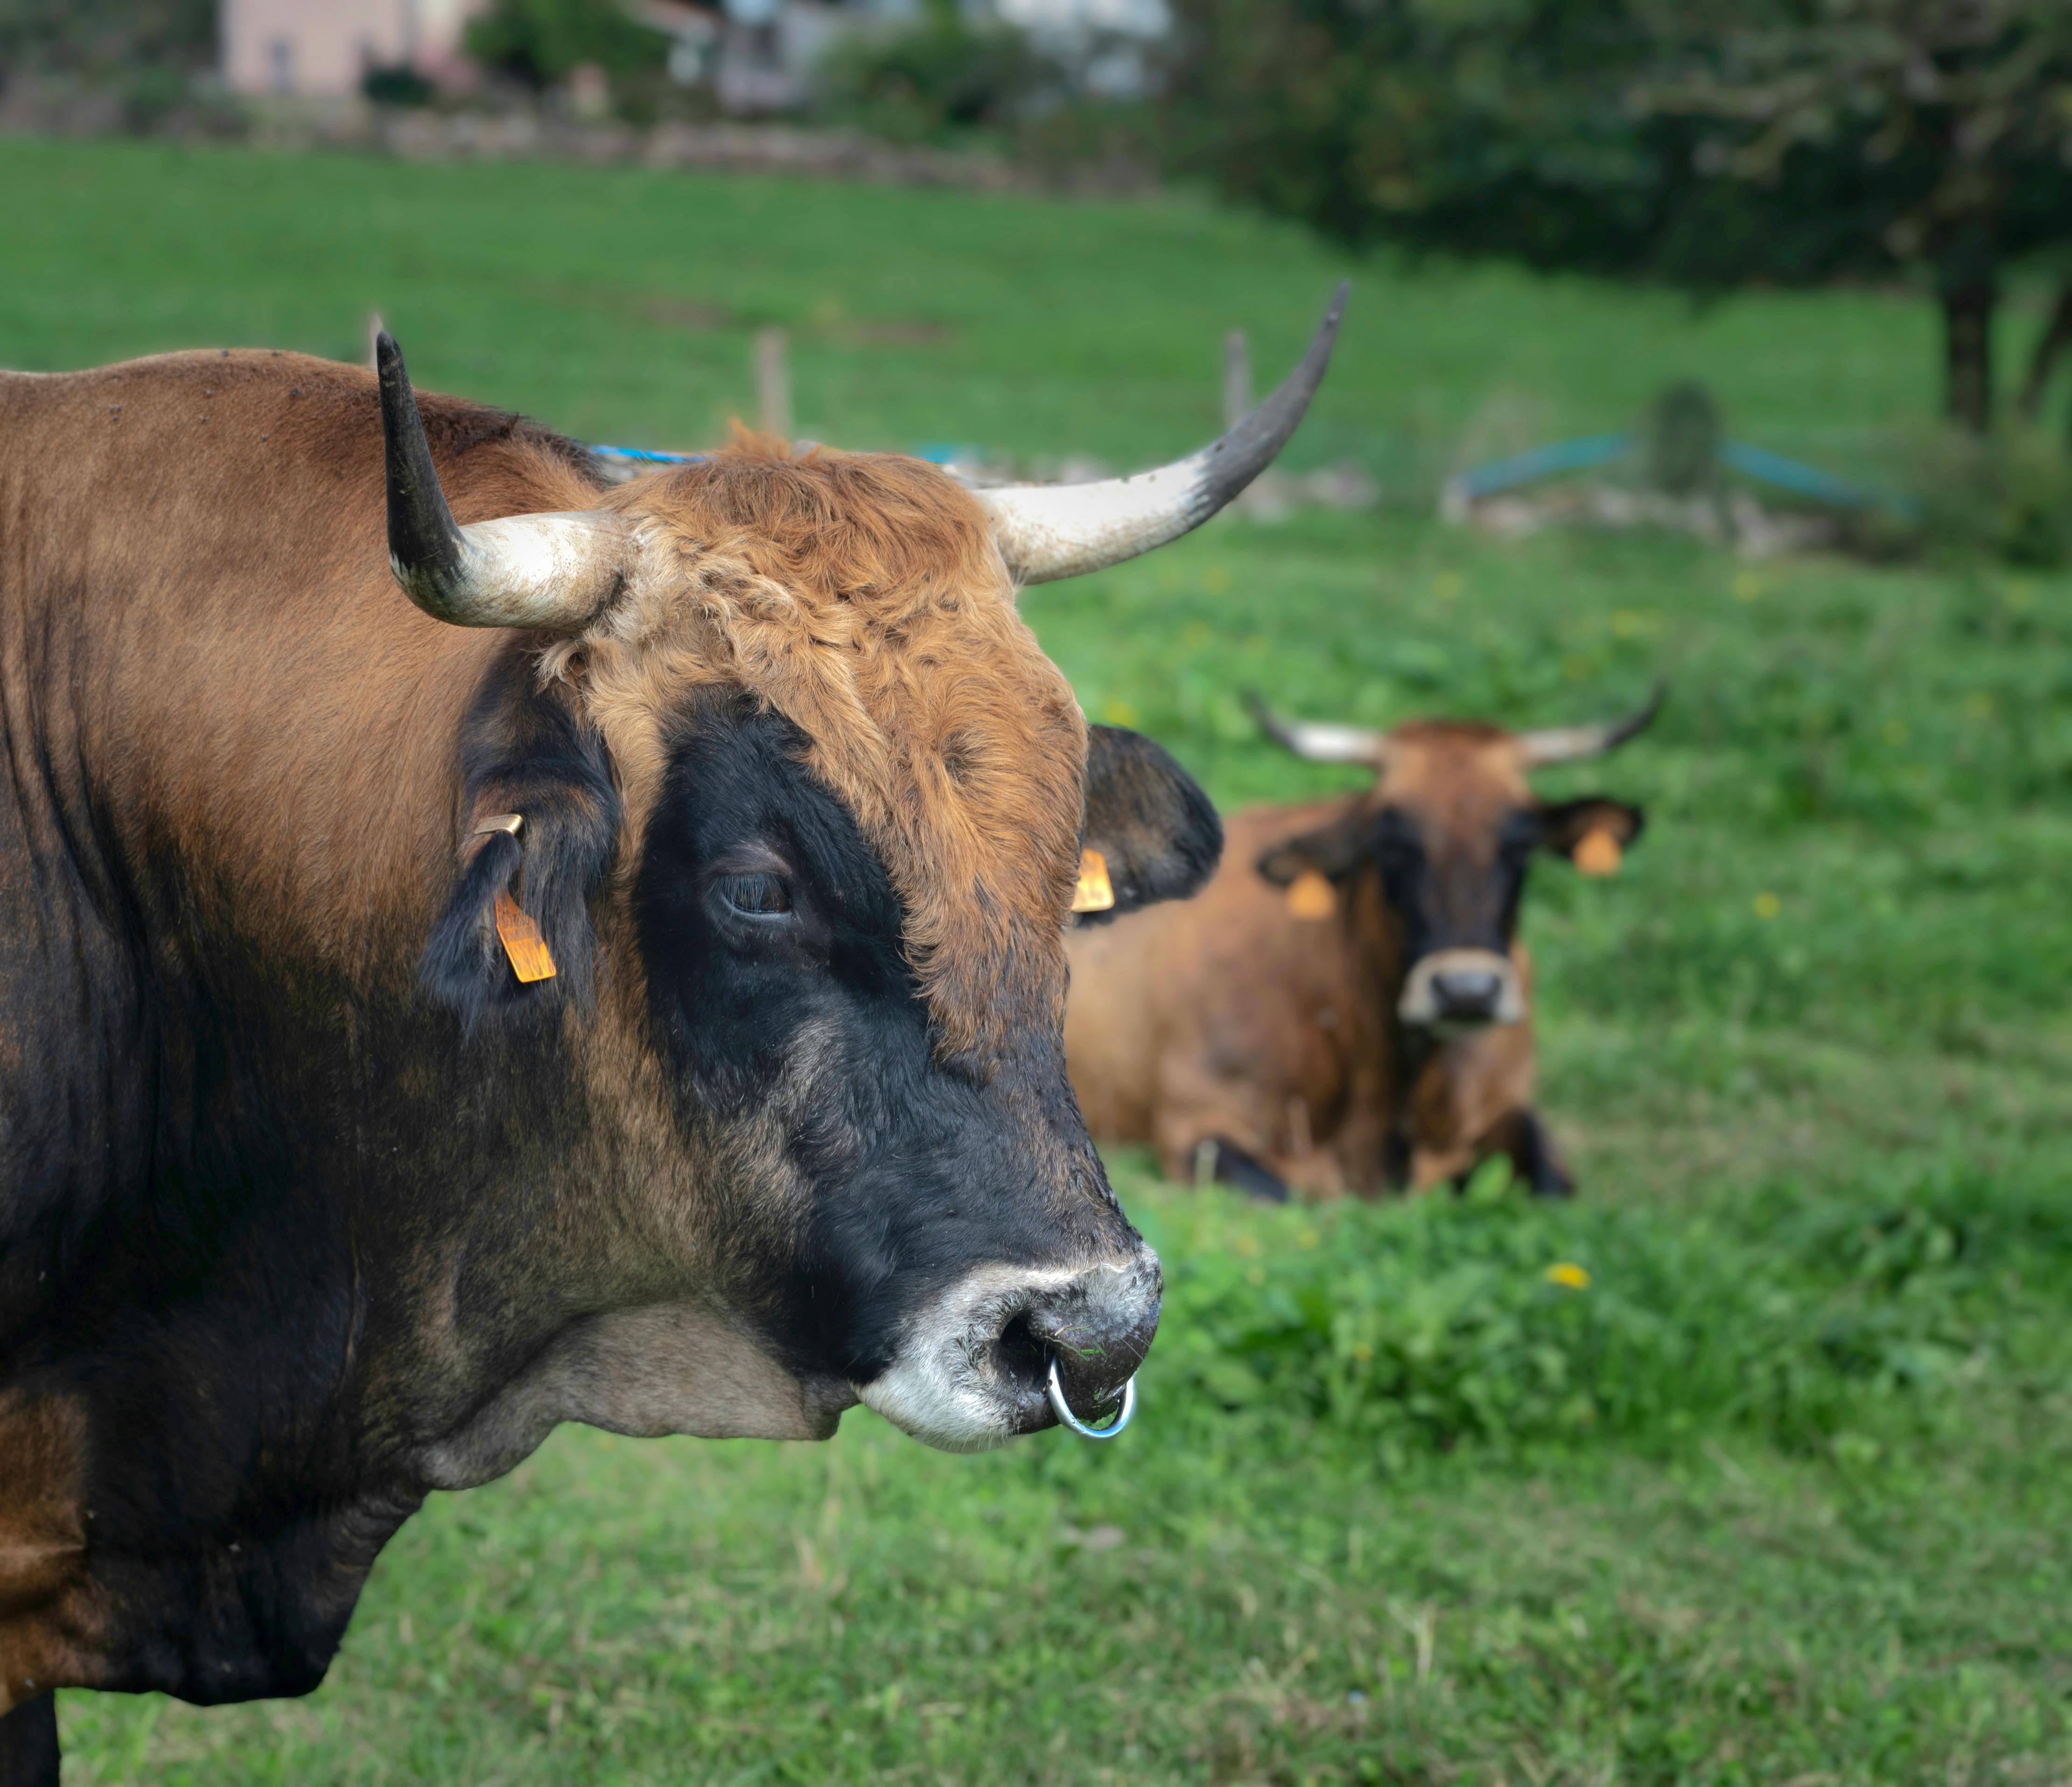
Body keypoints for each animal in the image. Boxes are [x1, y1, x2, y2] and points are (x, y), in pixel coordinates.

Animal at [1062, 685, 1659, 1201]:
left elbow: (1552, 1182)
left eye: (1521, 845)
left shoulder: (1508, 1101)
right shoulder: (1198, 1127)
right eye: (1393, 842)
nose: (1466, 991)